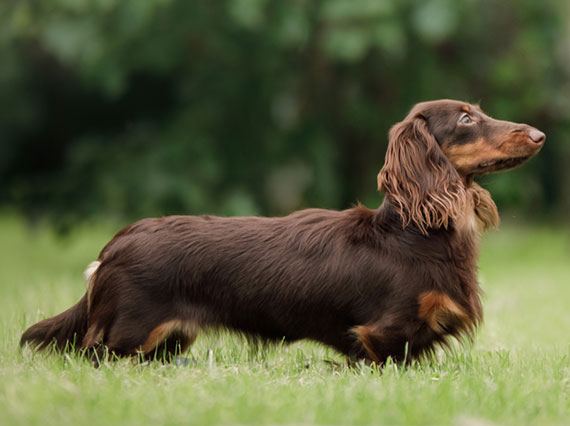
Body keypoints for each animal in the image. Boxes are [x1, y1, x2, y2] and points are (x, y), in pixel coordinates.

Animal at [18, 99, 540, 362]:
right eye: (466, 118)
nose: (540, 135)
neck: (413, 233)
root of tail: (113, 246)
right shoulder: (382, 336)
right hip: (125, 339)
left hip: (166, 342)